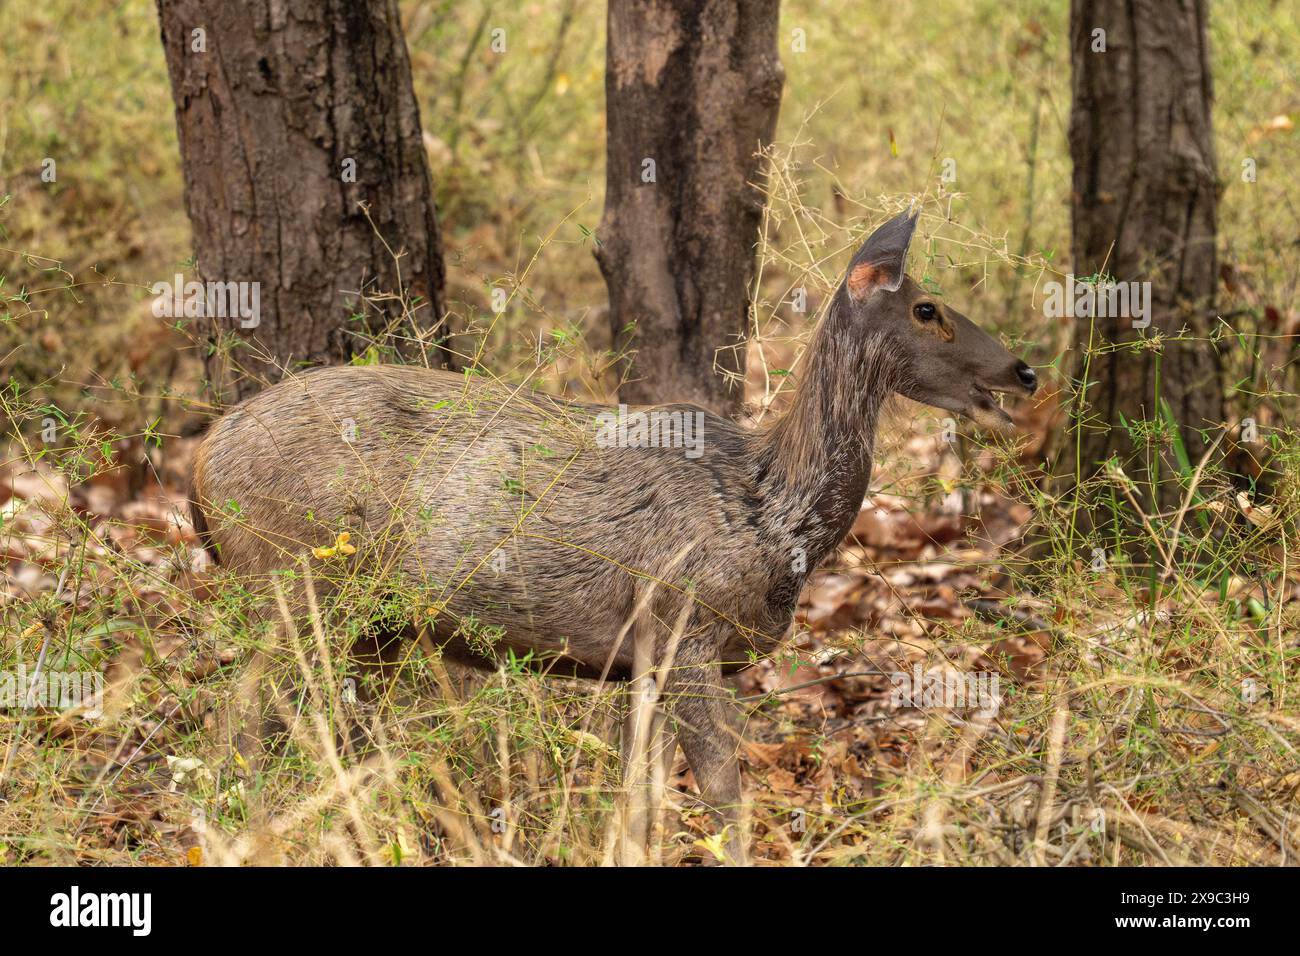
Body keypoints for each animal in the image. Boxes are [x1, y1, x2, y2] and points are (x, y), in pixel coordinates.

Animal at [189, 210, 1034, 868]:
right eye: (927, 308)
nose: (1024, 371)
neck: (771, 509)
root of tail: (202, 461)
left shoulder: (643, 662)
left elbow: (638, 800)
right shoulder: (683, 629)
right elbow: (722, 797)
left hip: (372, 624)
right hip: (291, 581)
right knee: (241, 717)